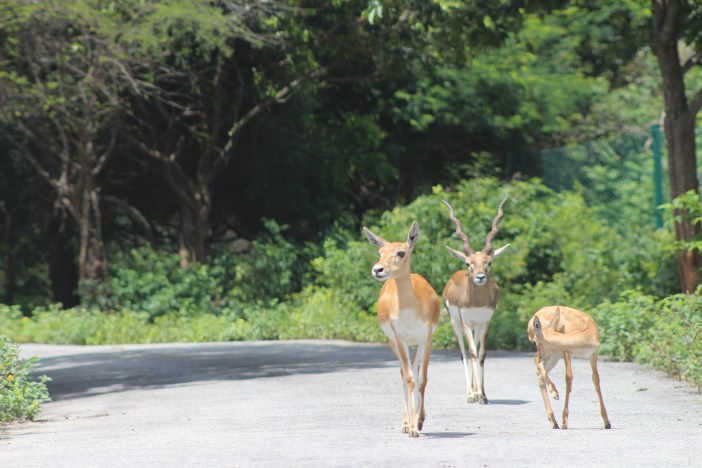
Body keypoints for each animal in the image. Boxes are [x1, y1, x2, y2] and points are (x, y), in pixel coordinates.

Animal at [363, 221, 441, 437]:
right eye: (380, 251)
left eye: (401, 252)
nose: (377, 269)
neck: (411, 312)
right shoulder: (401, 339)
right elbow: (410, 378)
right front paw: (413, 427)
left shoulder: (427, 339)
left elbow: (422, 379)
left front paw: (420, 422)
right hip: (393, 343)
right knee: (403, 372)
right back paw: (406, 424)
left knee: (414, 369)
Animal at [441, 196, 509, 404]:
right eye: (468, 263)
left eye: (489, 262)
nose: (480, 277)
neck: (477, 302)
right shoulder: (464, 321)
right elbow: (470, 353)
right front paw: (474, 395)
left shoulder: (486, 321)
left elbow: (481, 355)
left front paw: (483, 395)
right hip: (456, 323)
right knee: (464, 352)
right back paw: (470, 393)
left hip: (476, 327)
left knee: (475, 350)